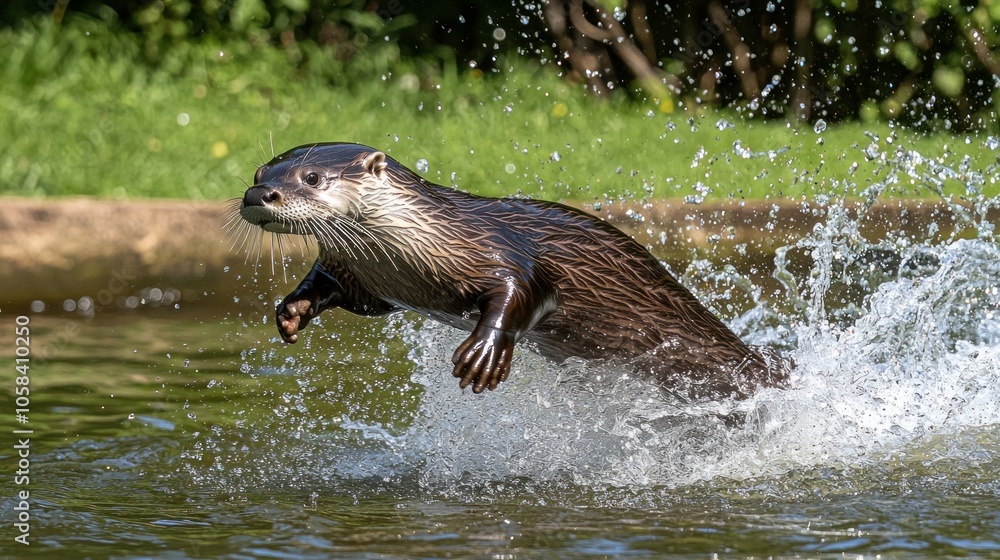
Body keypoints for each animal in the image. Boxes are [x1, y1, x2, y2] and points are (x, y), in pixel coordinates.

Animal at [235, 142, 787, 400]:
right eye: (259, 172)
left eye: (312, 177)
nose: (259, 195)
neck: (416, 251)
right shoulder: (372, 280)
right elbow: (342, 292)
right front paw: (293, 309)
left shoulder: (504, 252)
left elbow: (522, 291)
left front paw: (484, 352)